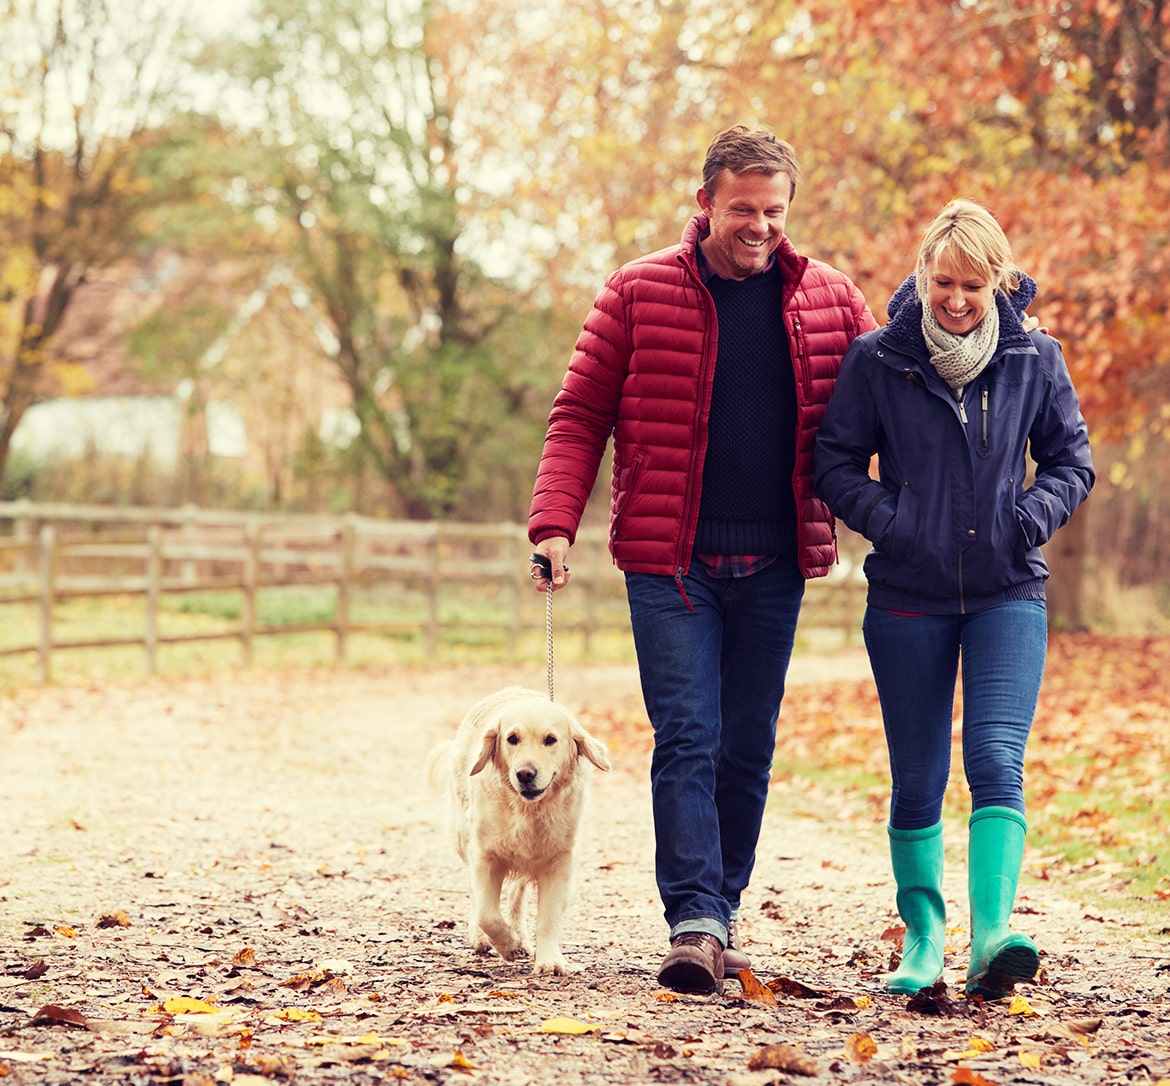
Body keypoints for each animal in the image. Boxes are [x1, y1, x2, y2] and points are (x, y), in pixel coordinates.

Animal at [428, 688, 613, 973]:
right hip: (463, 837)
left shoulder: (559, 860)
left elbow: (548, 917)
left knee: (517, 894)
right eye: (512, 739)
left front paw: (549, 960)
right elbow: (487, 914)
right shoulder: (484, 855)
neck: (529, 811)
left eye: (550, 740)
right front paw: (507, 945)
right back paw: (484, 939)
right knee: (477, 898)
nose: (525, 773)